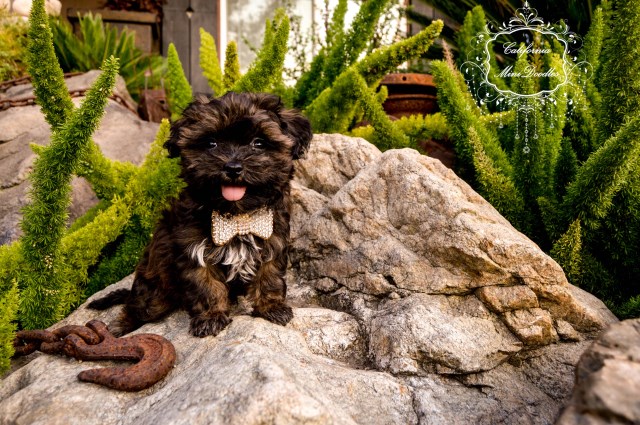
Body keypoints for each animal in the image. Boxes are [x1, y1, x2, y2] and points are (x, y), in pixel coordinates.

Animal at [88, 91, 312, 336]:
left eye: (259, 143)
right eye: (211, 143)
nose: (233, 167)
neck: (236, 218)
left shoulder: (273, 239)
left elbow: (269, 275)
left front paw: (271, 307)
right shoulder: (194, 248)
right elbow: (206, 285)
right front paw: (211, 317)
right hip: (154, 287)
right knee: (139, 305)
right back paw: (121, 326)